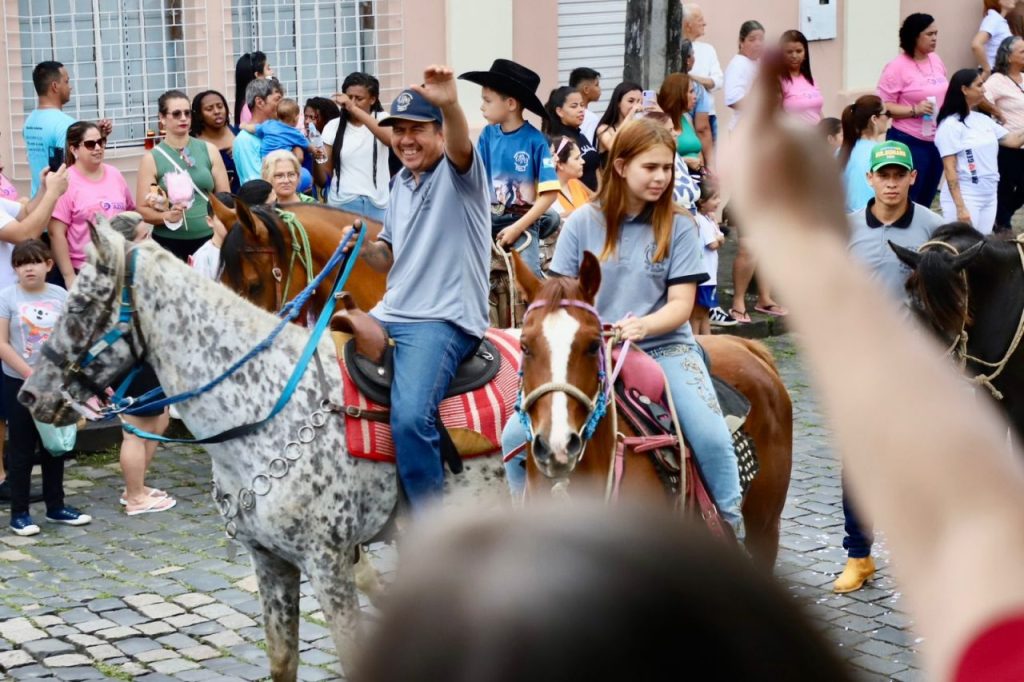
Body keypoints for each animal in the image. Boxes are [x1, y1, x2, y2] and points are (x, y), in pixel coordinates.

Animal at [19, 220, 507, 675]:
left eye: (80, 304)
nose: (30, 395)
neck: (266, 409)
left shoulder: (328, 562)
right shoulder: (270, 561)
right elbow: (282, 659)